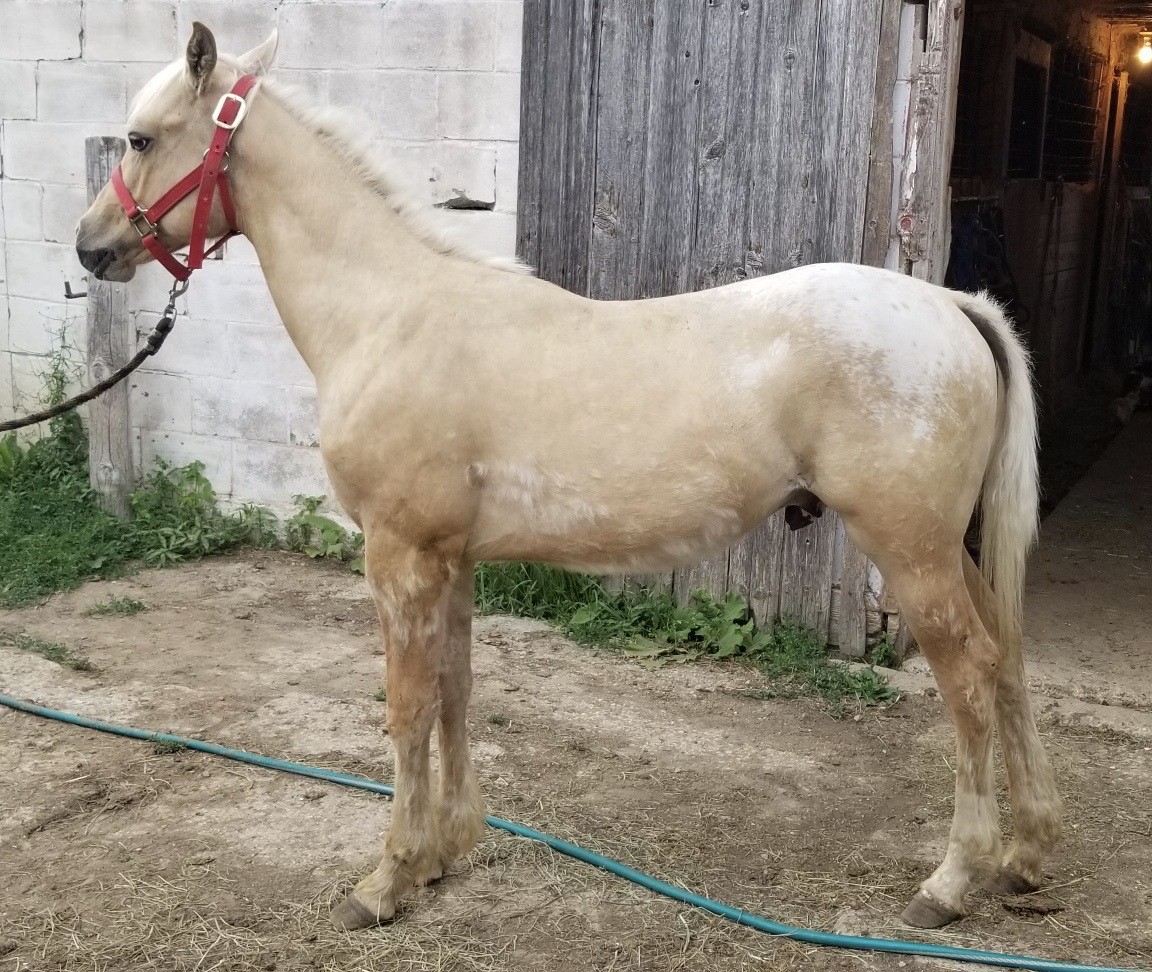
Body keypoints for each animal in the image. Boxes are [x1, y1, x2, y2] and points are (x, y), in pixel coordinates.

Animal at [75, 23, 1061, 932]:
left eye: (141, 137)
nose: (90, 249)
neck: (388, 315)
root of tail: (951, 306)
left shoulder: (399, 555)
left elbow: (406, 709)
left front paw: (386, 881)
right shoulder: (450, 559)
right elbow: (455, 691)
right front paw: (445, 854)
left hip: (910, 551)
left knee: (971, 680)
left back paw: (950, 882)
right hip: (947, 549)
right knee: (1008, 660)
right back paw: (1025, 856)